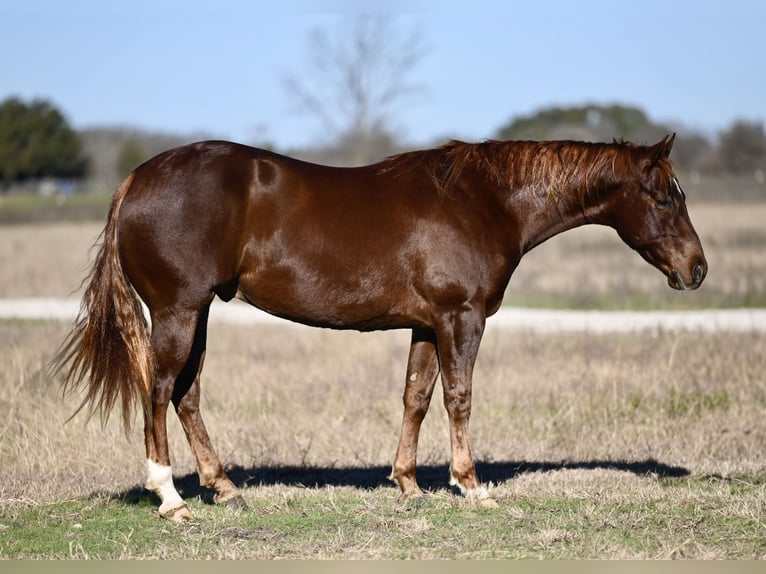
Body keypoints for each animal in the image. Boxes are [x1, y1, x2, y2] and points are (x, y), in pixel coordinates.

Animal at [52, 135, 708, 520]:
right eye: (666, 198)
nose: (697, 268)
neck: (484, 199)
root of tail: (137, 179)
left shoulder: (426, 325)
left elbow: (416, 397)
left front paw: (408, 484)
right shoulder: (460, 317)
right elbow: (459, 397)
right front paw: (470, 484)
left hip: (201, 312)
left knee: (186, 394)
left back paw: (224, 487)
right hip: (178, 311)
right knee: (160, 390)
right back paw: (170, 498)